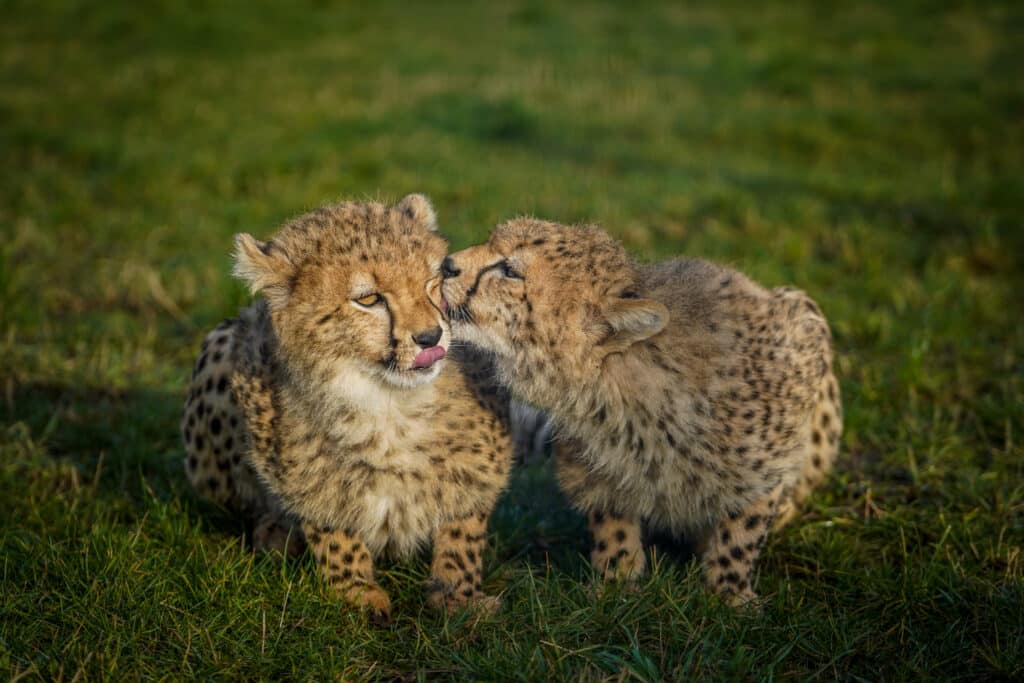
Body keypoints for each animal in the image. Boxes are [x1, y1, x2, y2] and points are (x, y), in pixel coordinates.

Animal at [182, 194, 512, 622]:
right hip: (219, 352)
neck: (387, 401)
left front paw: (459, 594)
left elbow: (464, 522)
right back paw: (276, 532)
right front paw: (356, 591)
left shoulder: (486, 452)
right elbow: (329, 520)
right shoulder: (300, 467)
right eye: (368, 298)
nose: (430, 336)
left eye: (432, 282)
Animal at [440, 219, 839, 602]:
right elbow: (612, 516)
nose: (446, 265)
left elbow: (742, 530)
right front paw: (617, 580)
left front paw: (730, 594)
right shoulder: (594, 467)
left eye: (510, 270)